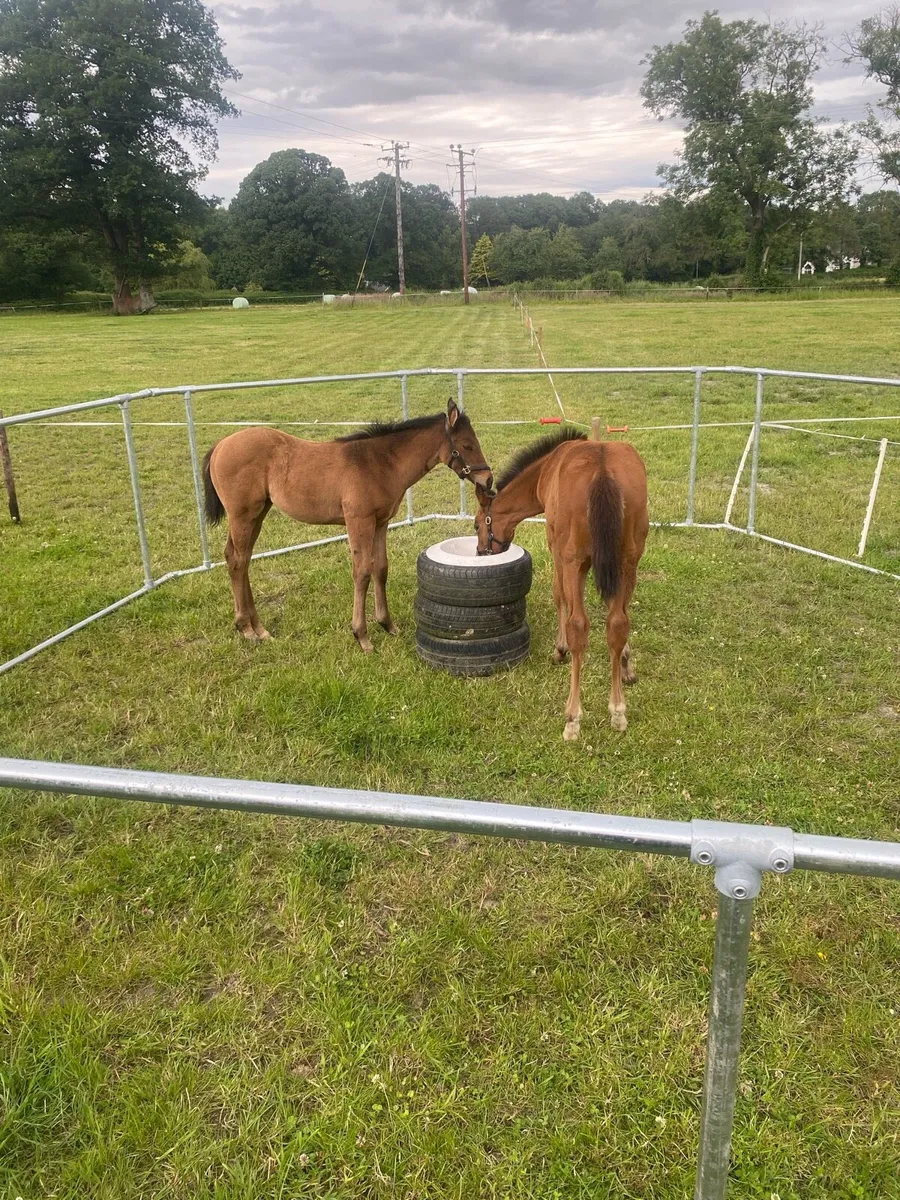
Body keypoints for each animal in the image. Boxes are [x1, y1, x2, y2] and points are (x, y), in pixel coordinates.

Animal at [203, 399, 493, 652]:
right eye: (467, 445)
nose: (488, 480)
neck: (377, 463)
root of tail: (220, 445)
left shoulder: (381, 522)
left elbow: (380, 568)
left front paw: (387, 625)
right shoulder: (358, 521)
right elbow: (361, 572)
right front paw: (362, 636)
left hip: (257, 514)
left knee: (239, 558)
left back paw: (258, 628)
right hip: (243, 515)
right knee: (238, 560)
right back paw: (248, 629)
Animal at [474, 428, 648, 741]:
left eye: (477, 524)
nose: (482, 552)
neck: (547, 468)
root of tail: (602, 470)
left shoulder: (554, 544)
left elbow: (559, 597)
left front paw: (560, 648)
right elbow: (618, 614)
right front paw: (626, 664)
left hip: (572, 560)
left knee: (579, 624)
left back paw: (573, 718)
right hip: (629, 559)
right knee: (618, 623)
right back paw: (618, 711)